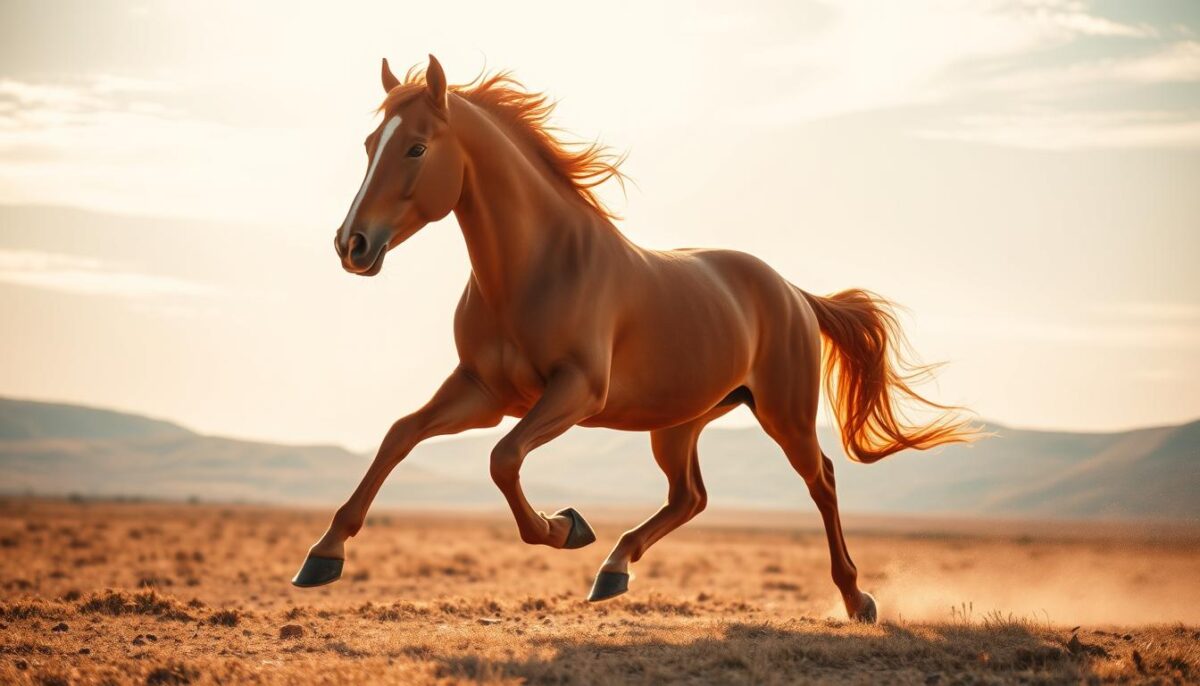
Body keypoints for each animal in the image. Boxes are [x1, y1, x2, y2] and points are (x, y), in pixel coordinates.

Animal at [292, 55, 978, 622]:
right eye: (369, 144)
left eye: (414, 147)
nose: (351, 245)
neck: (535, 268)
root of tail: (790, 291)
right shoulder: (484, 393)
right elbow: (399, 436)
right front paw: (323, 555)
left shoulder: (573, 393)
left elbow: (503, 459)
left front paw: (565, 525)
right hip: (677, 422)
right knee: (690, 497)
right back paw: (613, 570)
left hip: (783, 413)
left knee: (822, 482)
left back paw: (858, 599)